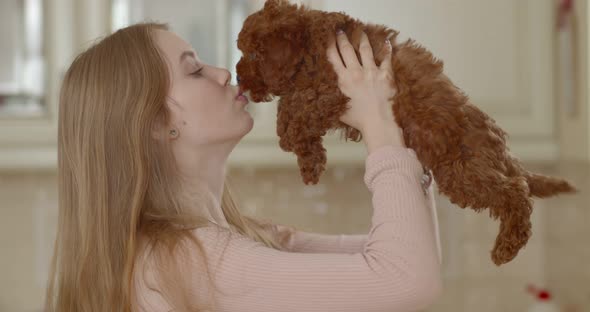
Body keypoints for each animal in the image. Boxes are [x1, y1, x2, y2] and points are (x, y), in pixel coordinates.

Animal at [236, 0, 580, 266]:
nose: (238, 78)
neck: (311, 43)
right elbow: (290, 106)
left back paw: (506, 249)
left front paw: (289, 137)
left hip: (464, 172)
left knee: (516, 192)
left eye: (252, 56)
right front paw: (308, 161)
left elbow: (299, 105)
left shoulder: (333, 88)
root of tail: (502, 149)